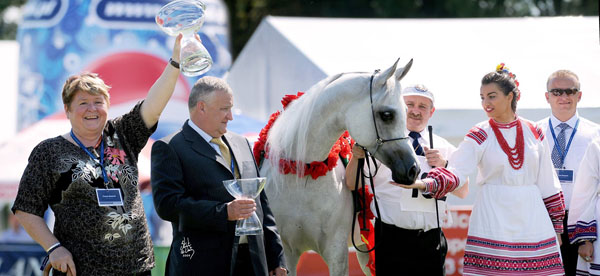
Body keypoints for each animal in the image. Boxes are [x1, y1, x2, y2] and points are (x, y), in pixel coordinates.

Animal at [258, 59, 422, 274]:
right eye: (387, 114)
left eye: (407, 112)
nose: (413, 169)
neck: (303, 174)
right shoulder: (286, 253)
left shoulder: (336, 252)